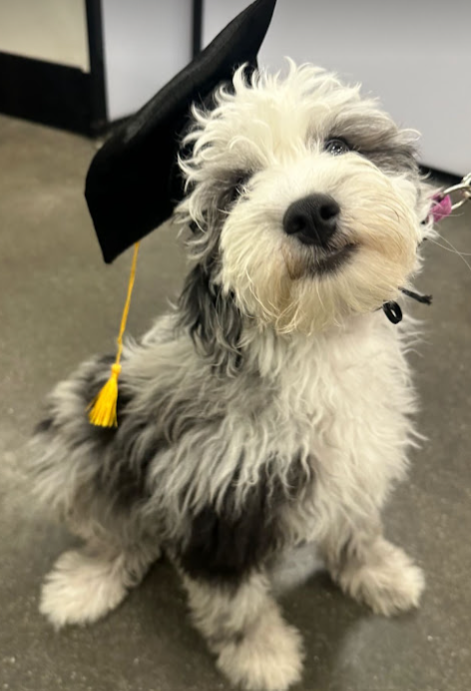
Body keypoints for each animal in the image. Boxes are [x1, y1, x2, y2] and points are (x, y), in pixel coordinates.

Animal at [28, 65, 436, 691]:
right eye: (239, 186)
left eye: (339, 144)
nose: (309, 211)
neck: (316, 339)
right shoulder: (214, 506)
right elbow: (233, 601)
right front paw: (262, 655)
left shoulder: (360, 458)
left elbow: (358, 530)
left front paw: (378, 573)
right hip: (79, 424)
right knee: (118, 530)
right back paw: (86, 583)